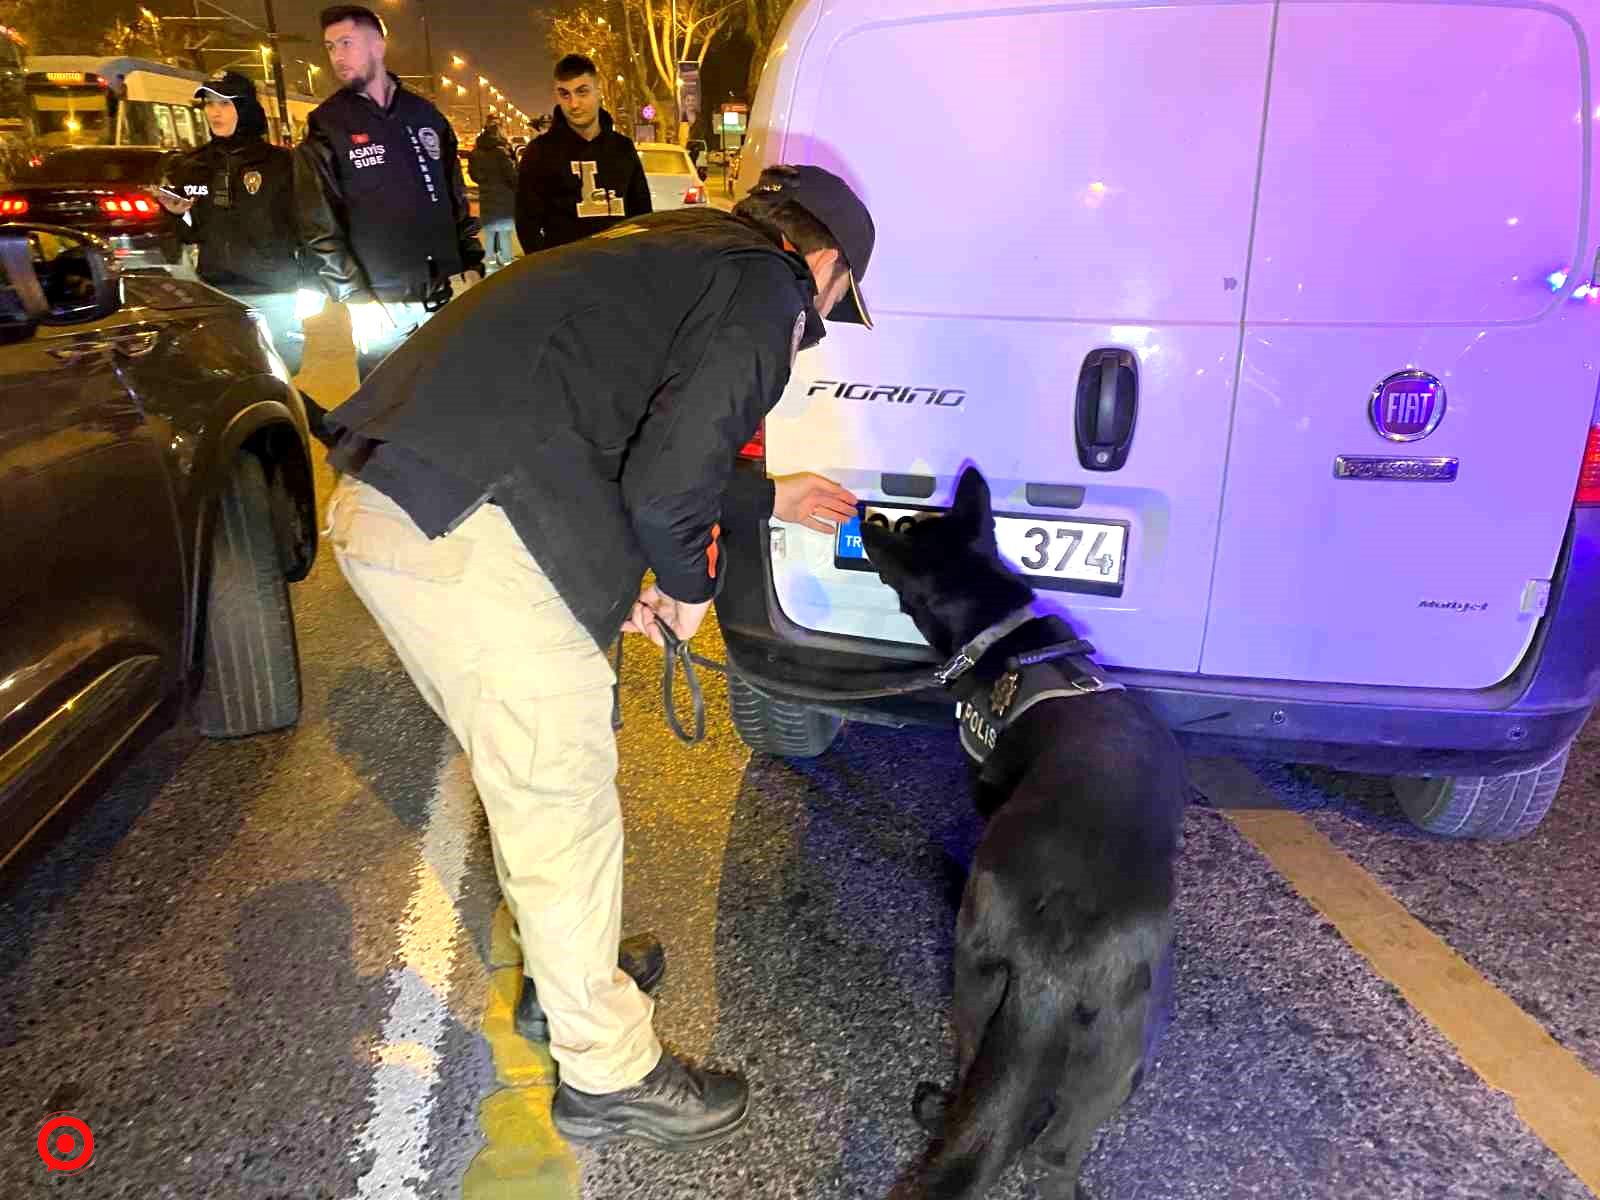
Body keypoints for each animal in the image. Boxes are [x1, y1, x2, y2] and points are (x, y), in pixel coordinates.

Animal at [864, 470, 1190, 1200]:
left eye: (906, 528)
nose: (867, 516)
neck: (1004, 637)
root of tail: (1056, 970)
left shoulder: (984, 787)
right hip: (1118, 1058)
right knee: (1054, 1156)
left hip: (973, 984)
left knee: (968, 1071)